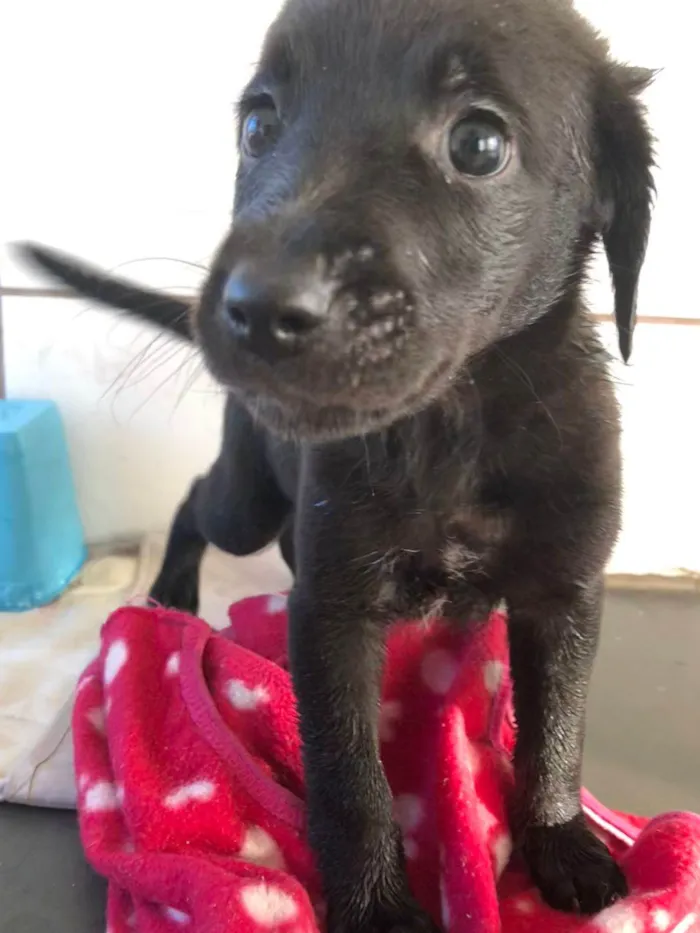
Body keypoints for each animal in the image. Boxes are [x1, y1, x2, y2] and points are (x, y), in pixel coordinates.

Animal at [19, 0, 652, 924]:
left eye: (479, 144)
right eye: (258, 124)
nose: (254, 308)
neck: (451, 430)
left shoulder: (563, 590)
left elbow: (555, 730)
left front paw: (562, 841)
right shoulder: (336, 609)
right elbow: (351, 774)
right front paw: (376, 904)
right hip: (247, 496)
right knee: (198, 502)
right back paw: (172, 590)